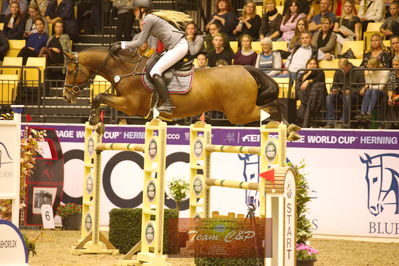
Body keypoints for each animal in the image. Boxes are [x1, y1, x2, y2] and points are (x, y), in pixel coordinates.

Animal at [61, 47, 282, 125]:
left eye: (71, 71)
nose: (66, 96)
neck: (125, 70)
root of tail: (245, 69)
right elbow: (100, 98)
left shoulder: (131, 105)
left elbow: (99, 97)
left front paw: (92, 119)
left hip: (239, 113)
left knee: (270, 109)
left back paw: (286, 127)